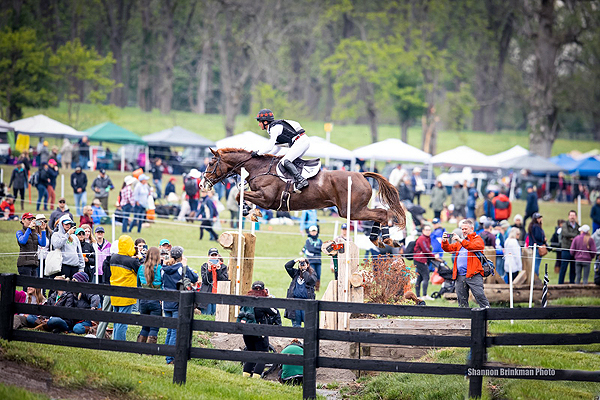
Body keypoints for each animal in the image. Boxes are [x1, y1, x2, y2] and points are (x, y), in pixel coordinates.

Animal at [199, 147, 406, 247]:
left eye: (211, 163)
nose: (202, 184)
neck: (258, 168)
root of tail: (361, 174)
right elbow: (242, 195)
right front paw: (252, 211)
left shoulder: (267, 198)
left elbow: (239, 195)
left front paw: (249, 211)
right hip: (353, 210)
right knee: (381, 212)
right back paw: (378, 240)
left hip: (352, 211)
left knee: (382, 214)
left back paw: (385, 240)